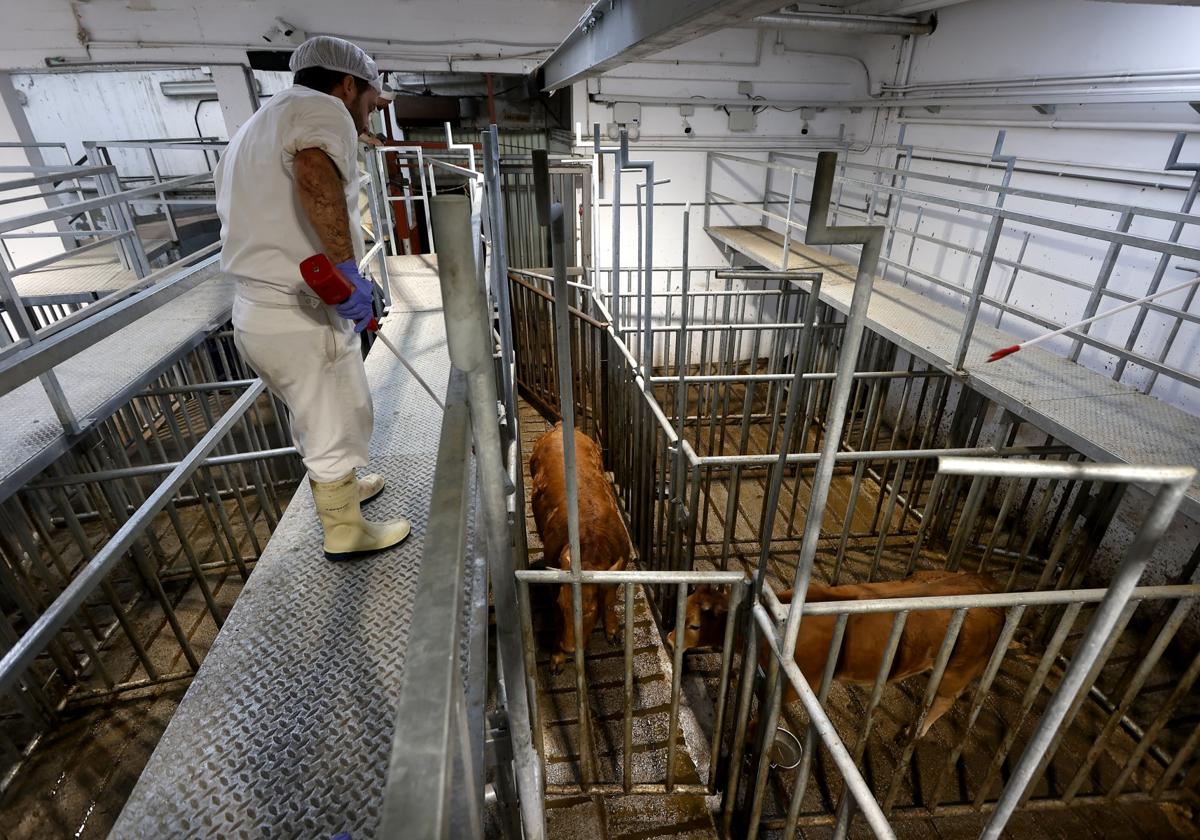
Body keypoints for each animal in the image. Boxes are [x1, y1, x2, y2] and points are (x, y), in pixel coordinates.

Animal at [532, 422, 633, 672]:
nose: (569, 648)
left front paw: (613, 633)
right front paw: (557, 660)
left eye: (589, 611)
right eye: (562, 605)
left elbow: (609, 599)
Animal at [667, 571, 1003, 734]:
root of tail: (987, 586)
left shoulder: (797, 685)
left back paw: (915, 730)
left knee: (945, 700)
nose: (670, 638)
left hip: (957, 670)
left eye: (694, 624)